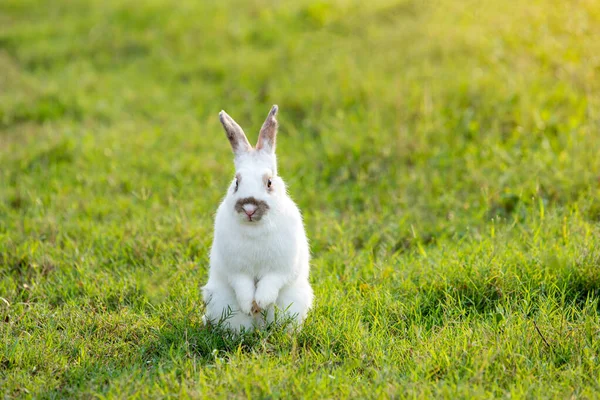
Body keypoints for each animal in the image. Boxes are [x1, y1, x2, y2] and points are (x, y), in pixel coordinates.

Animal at [203, 104, 314, 332]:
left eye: (269, 182)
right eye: (236, 182)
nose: (249, 208)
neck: (255, 228)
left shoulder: (280, 268)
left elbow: (270, 284)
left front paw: (260, 303)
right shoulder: (236, 270)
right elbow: (243, 286)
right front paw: (250, 306)